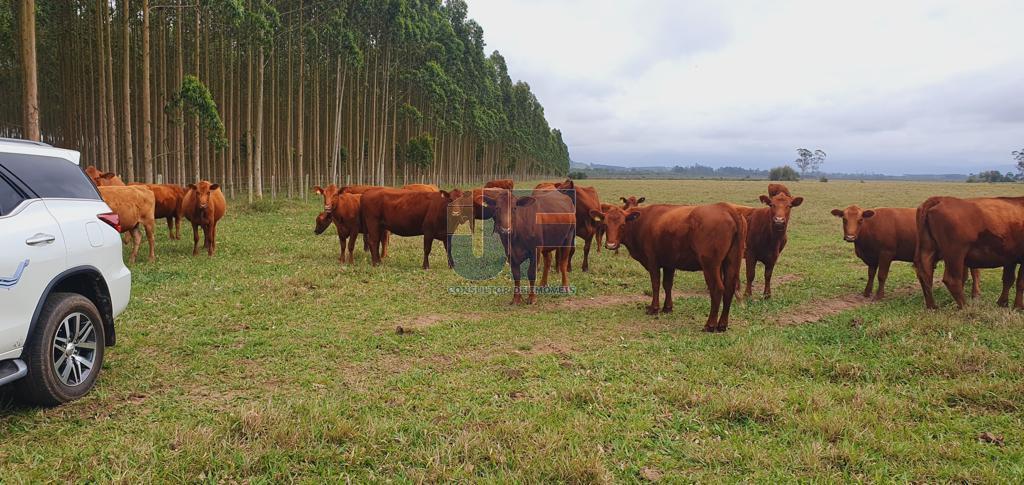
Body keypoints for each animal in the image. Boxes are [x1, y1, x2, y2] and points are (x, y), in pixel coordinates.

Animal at [593, 202, 745, 331]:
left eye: (623, 225)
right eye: (605, 224)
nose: (611, 245)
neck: (642, 222)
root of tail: (726, 208)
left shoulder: (652, 261)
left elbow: (655, 284)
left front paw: (654, 308)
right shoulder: (669, 263)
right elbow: (667, 284)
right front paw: (667, 307)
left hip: (710, 265)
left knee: (717, 289)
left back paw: (710, 325)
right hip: (731, 262)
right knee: (729, 289)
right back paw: (722, 325)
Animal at [827, 204, 978, 298]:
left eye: (860, 219)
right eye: (844, 219)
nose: (850, 237)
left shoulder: (886, 253)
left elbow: (881, 275)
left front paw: (879, 295)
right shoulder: (872, 257)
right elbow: (870, 275)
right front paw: (866, 292)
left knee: (975, 272)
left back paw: (975, 294)